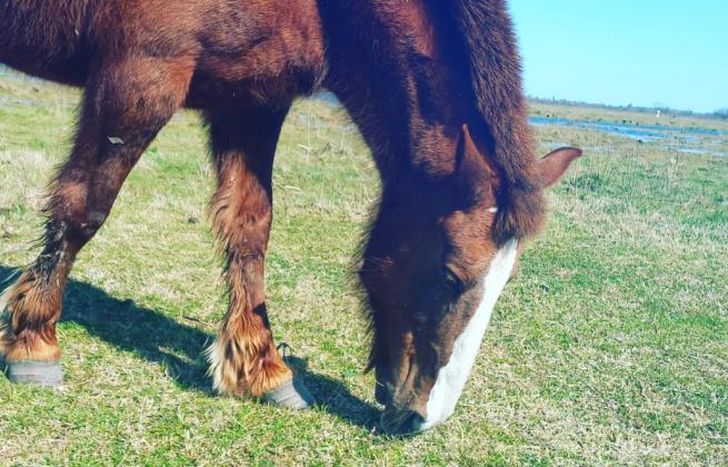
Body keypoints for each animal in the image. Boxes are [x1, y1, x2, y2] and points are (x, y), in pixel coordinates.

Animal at [0, 0, 581, 434]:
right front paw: (34, 338)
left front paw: (263, 368)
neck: (328, 11)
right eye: (450, 275)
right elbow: (85, 207)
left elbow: (250, 227)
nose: (424, 419)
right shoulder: (143, 75)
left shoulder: (252, 101)